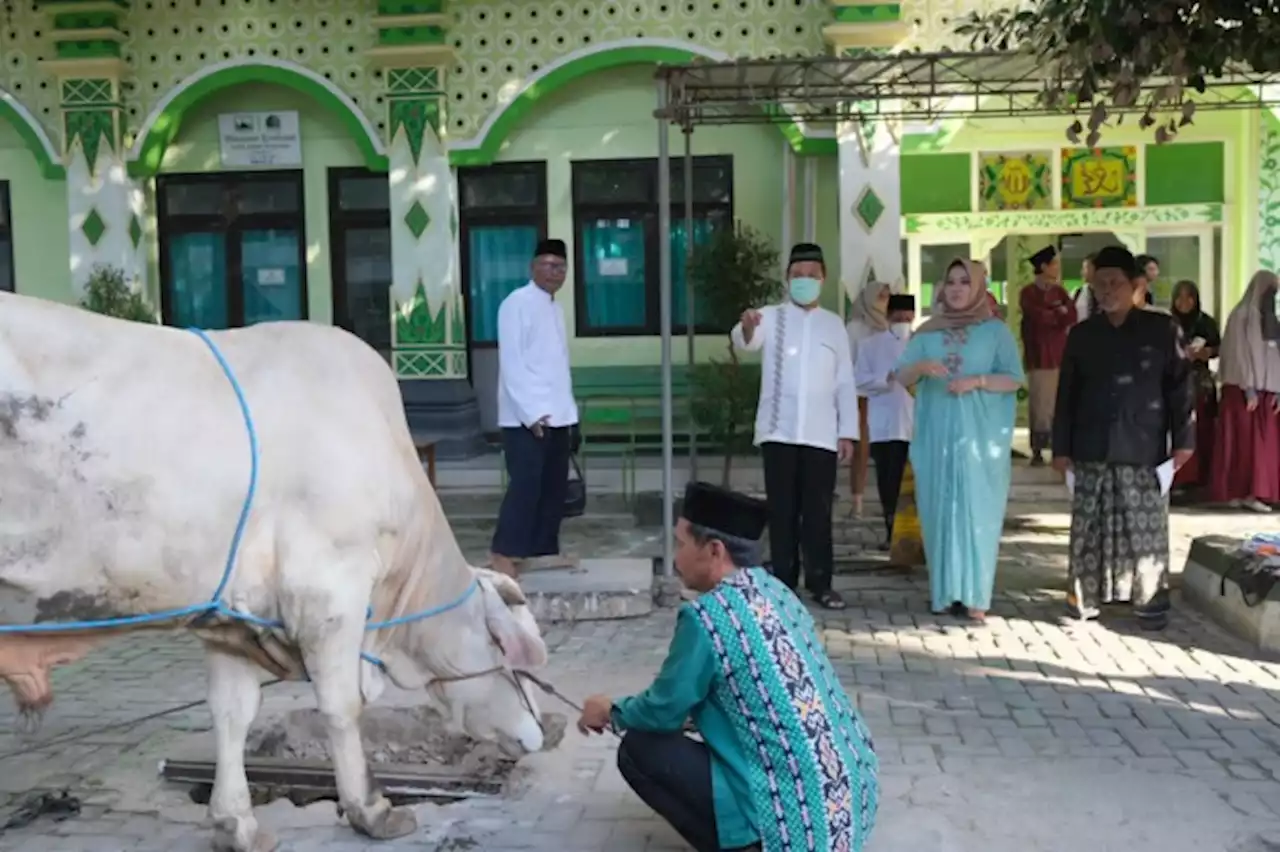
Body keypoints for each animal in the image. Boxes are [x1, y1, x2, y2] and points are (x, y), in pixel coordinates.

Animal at [0, 291, 545, 849]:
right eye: (513, 657)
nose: (539, 733)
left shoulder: (231, 618)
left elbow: (232, 713)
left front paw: (235, 822)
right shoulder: (330, 595)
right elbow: (343, 707)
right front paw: (371, 810)